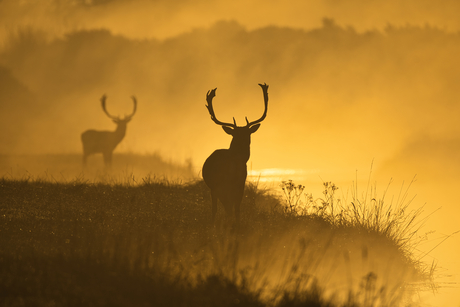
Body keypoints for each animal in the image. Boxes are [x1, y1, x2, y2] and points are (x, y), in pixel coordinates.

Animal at [202, 83, 270, 225]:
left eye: (247, 133)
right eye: (237, 134)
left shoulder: (239, 183)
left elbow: (234, 207)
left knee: (228, 206)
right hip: (220, 186)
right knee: (223, 207)